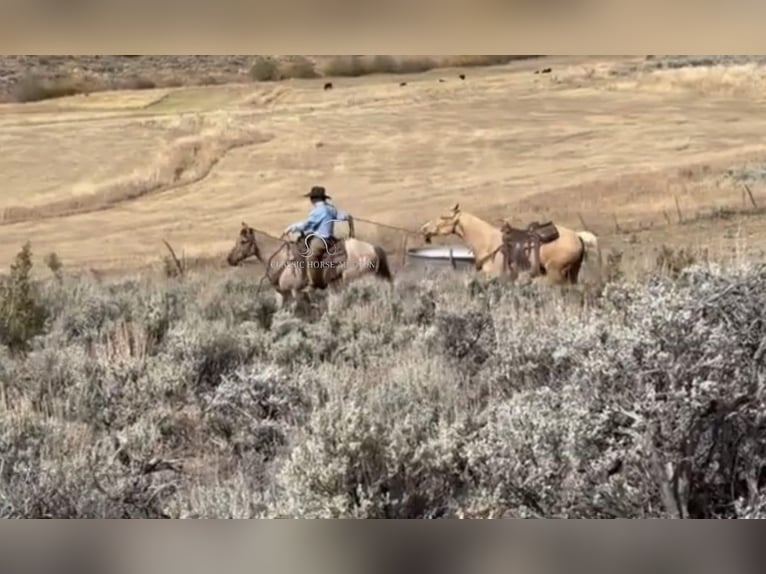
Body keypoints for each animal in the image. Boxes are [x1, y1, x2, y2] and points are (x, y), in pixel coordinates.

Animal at [225, 223, 392, 310]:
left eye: (243, 241)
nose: (229, 259)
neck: (281, 258)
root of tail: (373, 248)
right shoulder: (281, 293)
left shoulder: (296, 291)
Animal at [420, 205, 608, 286]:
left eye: (443, 217)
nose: (424, 229)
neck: (488, 242)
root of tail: (577, 235)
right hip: (572, 272)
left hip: (556, 273)